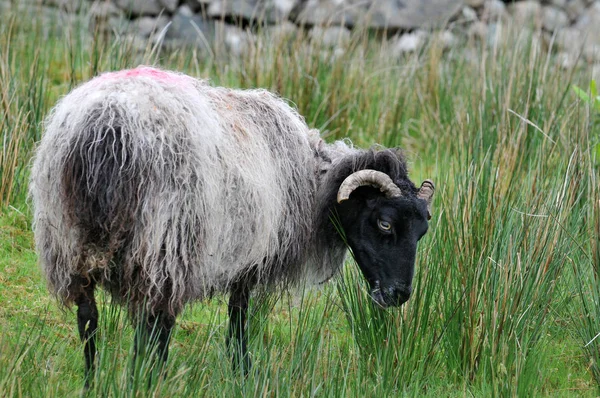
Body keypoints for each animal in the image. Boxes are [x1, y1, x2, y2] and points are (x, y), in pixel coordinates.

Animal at [29, 66, 436, 386]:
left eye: (422, 232)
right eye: (384, 224)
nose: (400, 295)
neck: (312, 181)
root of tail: (105, 129)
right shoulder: (251, 260)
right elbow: (238, 319)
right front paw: (243, 371)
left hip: (69, 242)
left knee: (89, 321)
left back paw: (92, 381)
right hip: (165, 242)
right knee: (155, 325)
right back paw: (148, 380)